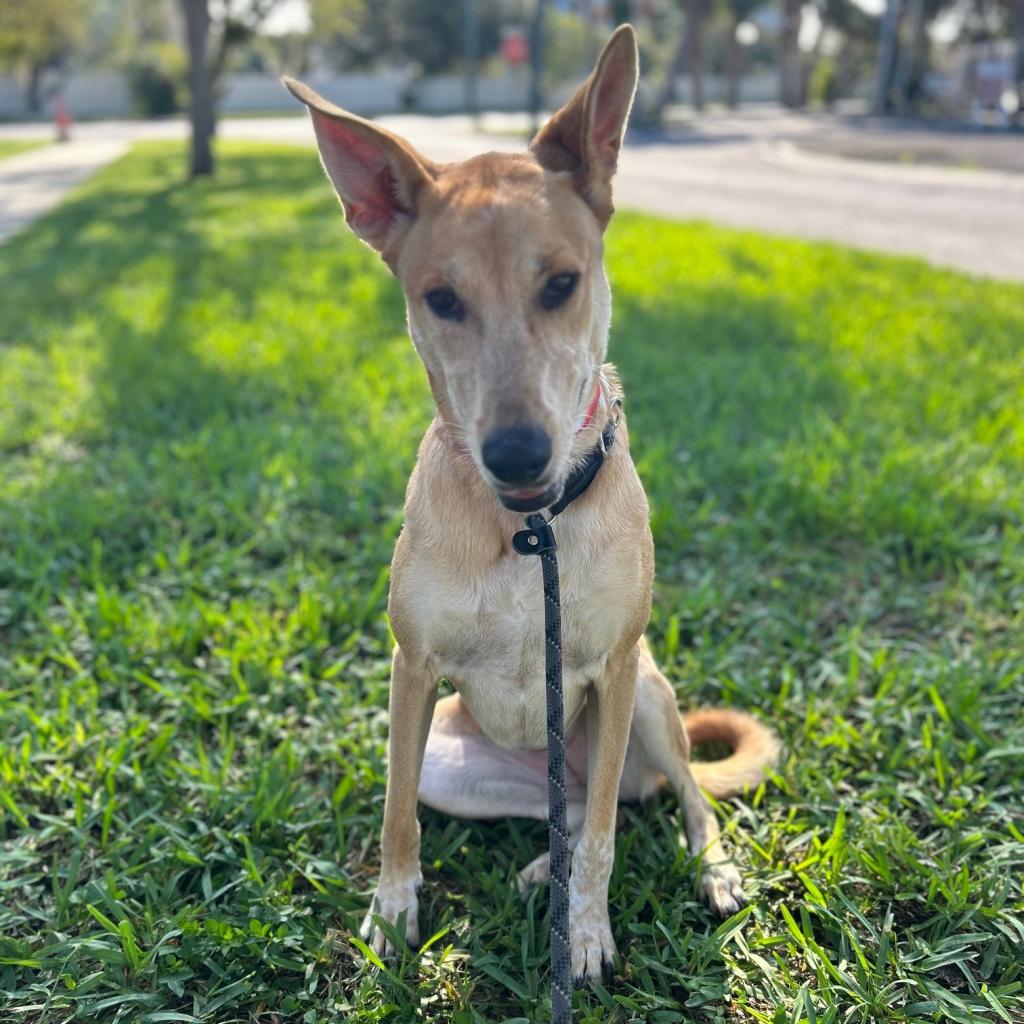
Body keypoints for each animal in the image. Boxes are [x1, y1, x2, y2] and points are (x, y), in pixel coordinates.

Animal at [284, 24, 778, 983]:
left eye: (561, 284)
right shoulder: (411, 670)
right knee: (581, 807)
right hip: (459, 760)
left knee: (655, 802)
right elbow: (397, 814)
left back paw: (707, 867)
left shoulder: (616, 668)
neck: (528, 532)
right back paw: (540, 864)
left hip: (650, 699)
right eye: (441, 299)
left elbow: (607, 841)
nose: (516, 452)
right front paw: (391, 911)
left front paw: (583, 934)